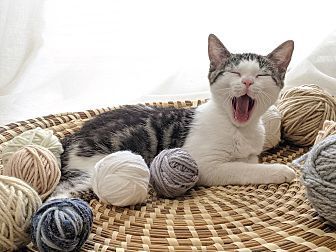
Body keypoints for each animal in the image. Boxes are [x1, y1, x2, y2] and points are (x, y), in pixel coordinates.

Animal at [50, 33, 294, 199]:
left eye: (262, 75)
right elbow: (243, 168)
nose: (248, 81)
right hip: (91, 164)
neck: (239, 128)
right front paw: (279, 170)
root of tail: (74, 135)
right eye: (234, 72)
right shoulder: (205, 165)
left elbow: (248, 161)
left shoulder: (250, 153)